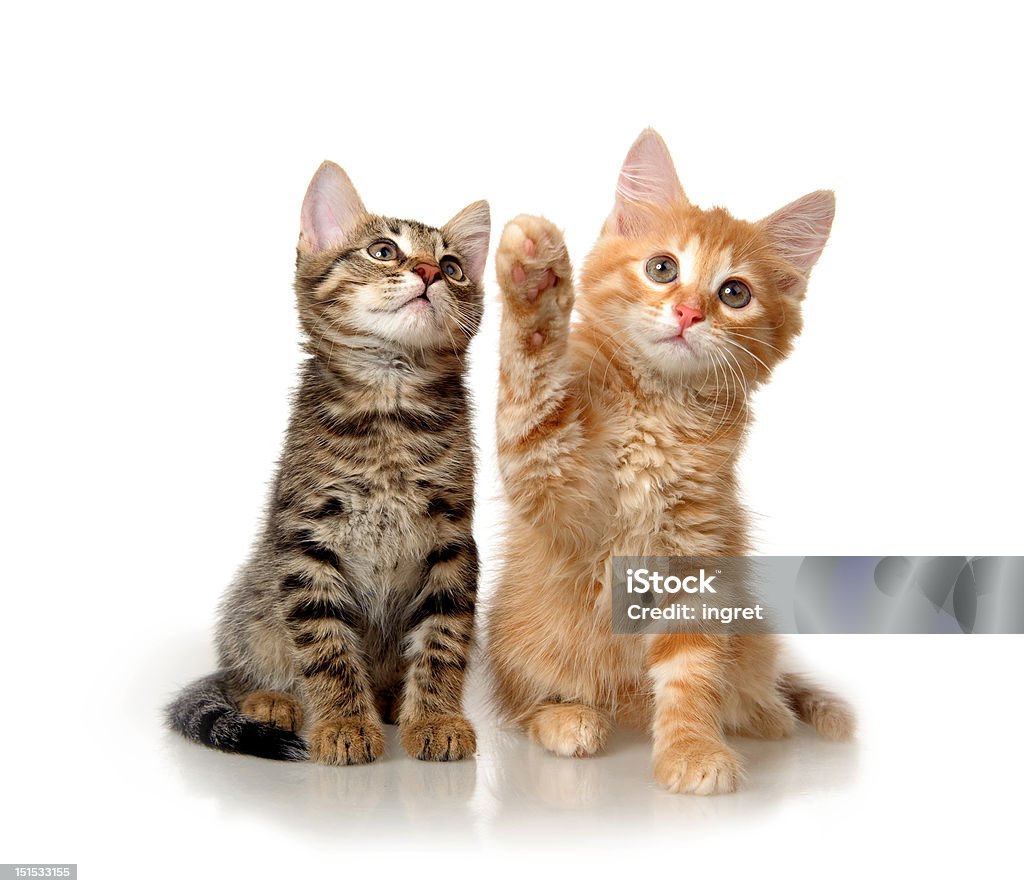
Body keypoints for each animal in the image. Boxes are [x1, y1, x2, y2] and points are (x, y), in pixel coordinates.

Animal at [166, 160, 487, 761]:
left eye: (455, 267)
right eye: (384, 251)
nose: (430, 272)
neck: (390, 407)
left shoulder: (454, 538)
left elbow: (444, 638)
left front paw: (435, 718)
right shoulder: (306, 538)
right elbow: (325, 644)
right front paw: (343, 723)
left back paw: (391, 701)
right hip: (253, 603)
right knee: (241, 671)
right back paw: (273, 699)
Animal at [487, 129, 856, 790]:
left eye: (734, 293)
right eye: (663, 269)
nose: (688, 312)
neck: (657, 412)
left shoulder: (697, 556)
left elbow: (692, 668)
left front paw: (691, 748)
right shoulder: (550, 477)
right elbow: (531, 389)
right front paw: (534, 282)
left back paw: (765, 714)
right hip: (516, 639)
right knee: (527, 703)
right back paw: (569, 718)